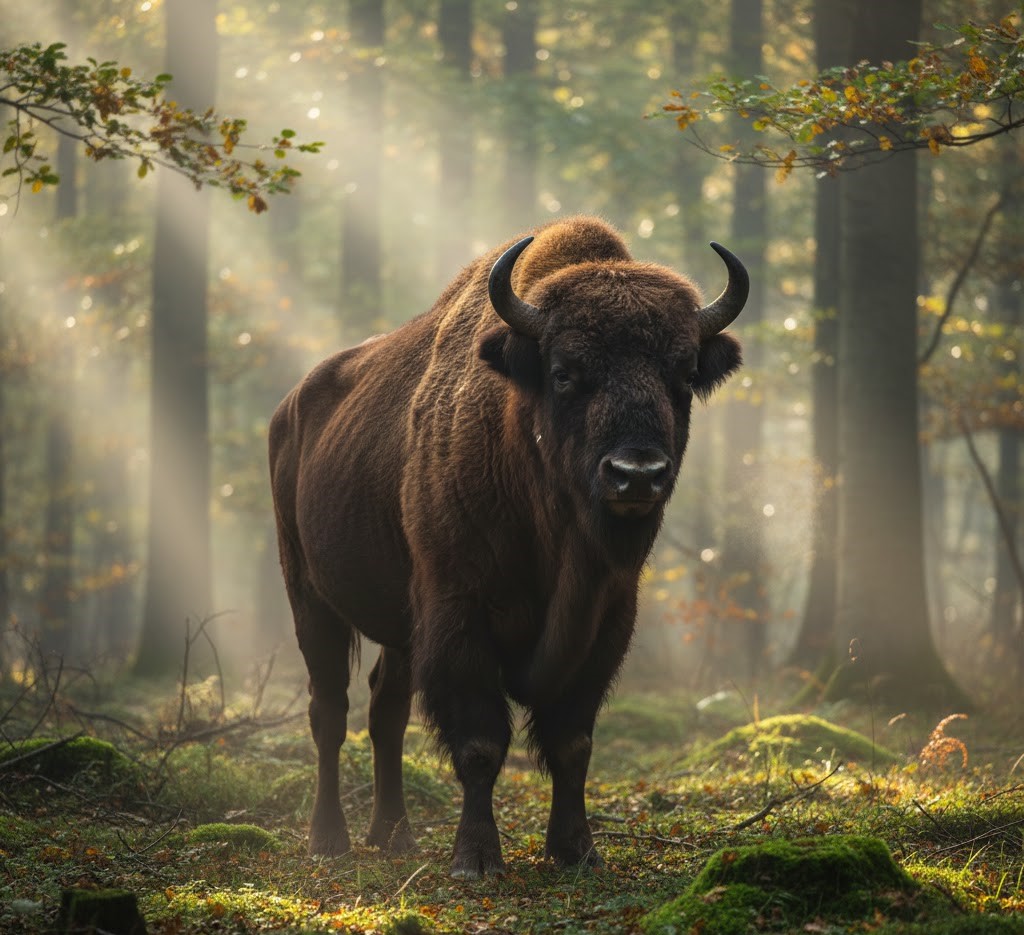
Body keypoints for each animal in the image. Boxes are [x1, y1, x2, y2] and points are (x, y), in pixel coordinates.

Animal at [269, 216, 747, 878]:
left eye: (682, 374)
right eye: (566, 372)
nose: (636, 475)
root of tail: (289, 409)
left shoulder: (607, 623)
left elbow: (573, 743)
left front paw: (576, 851)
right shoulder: (459, 615)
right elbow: (479, 744)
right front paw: (476, 859)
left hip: (398, 626)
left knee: (385, 710)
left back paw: (394, 835)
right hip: (308, 596)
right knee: (329, 711)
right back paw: (328, 839)